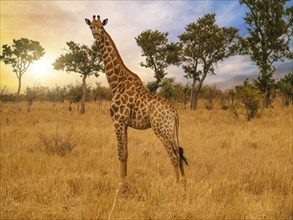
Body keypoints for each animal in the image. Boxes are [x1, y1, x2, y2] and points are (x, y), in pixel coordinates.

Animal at [84, 15, 187, 187]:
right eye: (91, 26)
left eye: (102, 27)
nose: (96, 36)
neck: (116, 83)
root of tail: (175, 112)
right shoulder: (125, 123)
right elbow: (126, 153)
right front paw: (125, 183)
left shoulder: (118, 120)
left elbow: (120, 153)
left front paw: (120, 186)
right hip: (172, 130)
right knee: (179, 153)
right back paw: (185, 185)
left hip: (161, 129)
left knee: (173, 155)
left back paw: (176, 185)